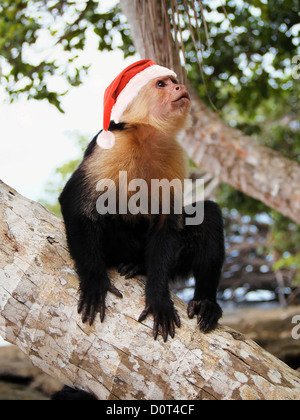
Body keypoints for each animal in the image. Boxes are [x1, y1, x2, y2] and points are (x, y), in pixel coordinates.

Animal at [58, 60, 224, 344]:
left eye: (173, 81)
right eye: (161, 84)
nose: (180, 87)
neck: (148, 136)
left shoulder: (174, 154)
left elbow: (166, 224)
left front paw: (158, 299)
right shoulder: (112, 145)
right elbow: (75, 204)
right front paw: (94, 282)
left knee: (208, 215)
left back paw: (202, 301)